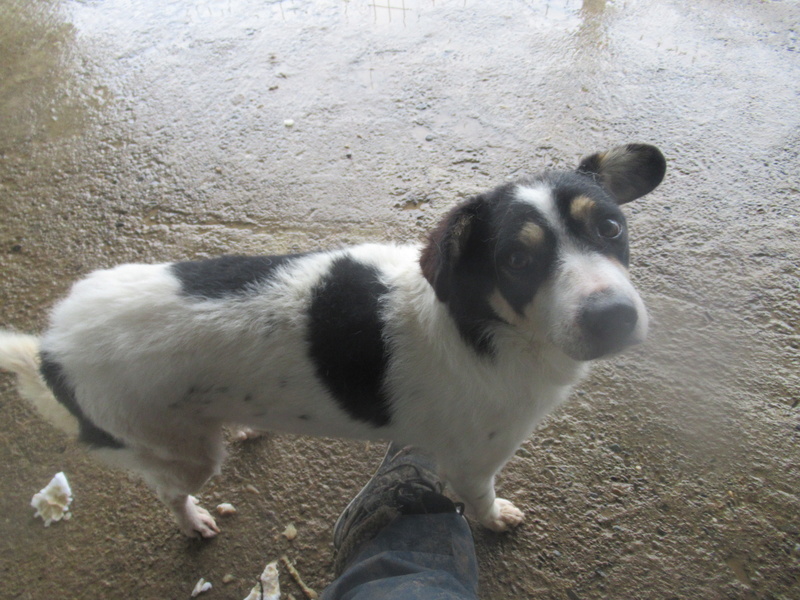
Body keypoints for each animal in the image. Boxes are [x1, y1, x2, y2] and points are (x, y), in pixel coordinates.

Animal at [0, 144, 664, 540]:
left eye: (610, 226)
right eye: (517, 260)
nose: (612, 317)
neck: (484, 325)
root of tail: (50, 348)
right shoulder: (474, 464)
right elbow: (479, 501)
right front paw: (496, 520)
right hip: (180, 454)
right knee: (167, 492)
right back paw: (193, 521)